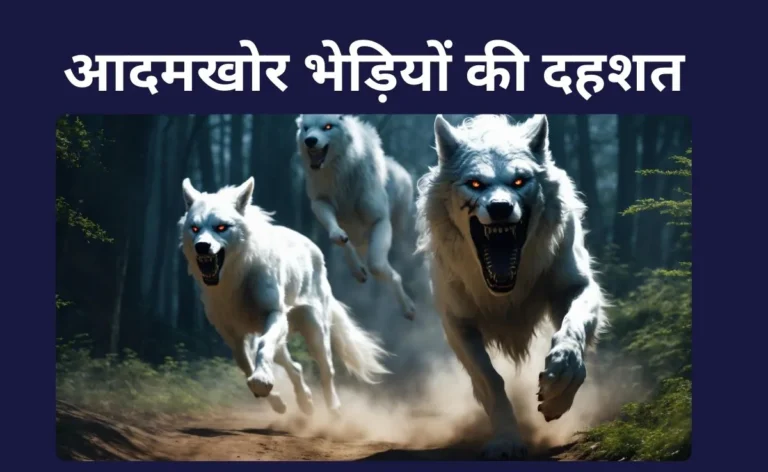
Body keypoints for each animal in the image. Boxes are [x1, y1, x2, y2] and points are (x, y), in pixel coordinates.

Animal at [178, 176, 391, 417]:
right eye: (195, 228)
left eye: (221, 227)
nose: (202, 246)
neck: (237, 279)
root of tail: (315, 249)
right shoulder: (231, 334)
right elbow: (244, 364)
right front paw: (274, 398)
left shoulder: (275, 315)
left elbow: (263, 348)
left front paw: (262, 380)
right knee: (294, 367)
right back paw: (305, 402)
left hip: (315, 330)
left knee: (327, 369)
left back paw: (333, 409)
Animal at [295, 113, 419, 321]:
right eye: (306, 128)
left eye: (327, 126)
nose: (310, 140)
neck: (342, 173)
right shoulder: (320, 202)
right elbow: (337, 236)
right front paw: (358, 270)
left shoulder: (380, 221)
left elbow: (378, 266)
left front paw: (408, 307)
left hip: (401, 237)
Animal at [415, 114, 608, 459]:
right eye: (475, 183)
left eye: (519, 181)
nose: (500, 208)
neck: (505, 292)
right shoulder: (457, 323)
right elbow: (490, 380)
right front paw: (507, 440)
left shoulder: (576, 287)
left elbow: (571, 334)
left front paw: (558, 389)